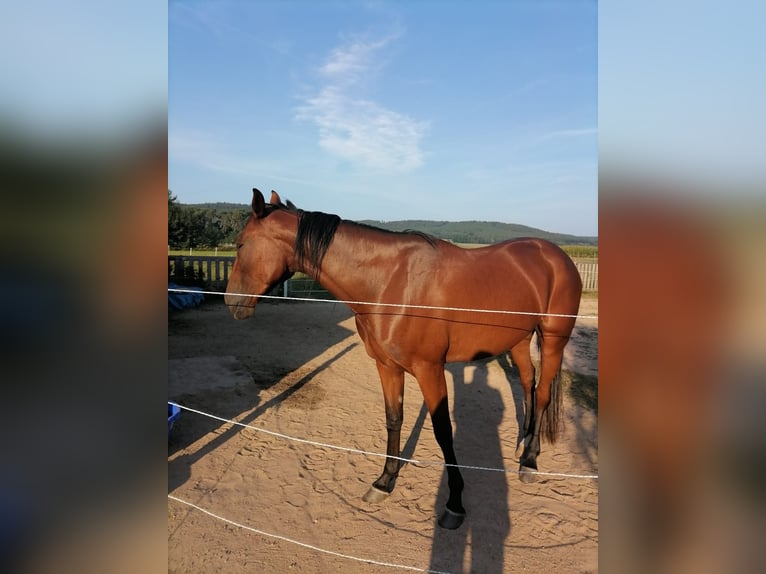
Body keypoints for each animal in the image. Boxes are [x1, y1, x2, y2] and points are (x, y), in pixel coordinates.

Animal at [225, 189, 584, 532]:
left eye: (241, 243)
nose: (231, 301)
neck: (389, 283)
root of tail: (555, 255)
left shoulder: (430, 370)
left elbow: (443, 431)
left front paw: (454, 503)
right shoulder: (386, 367)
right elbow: (393, 419)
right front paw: (384, 482)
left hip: (553, 340)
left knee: (542, 392)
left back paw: (530, 461)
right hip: (519, 340)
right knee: (527, 382)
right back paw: (522, 445)